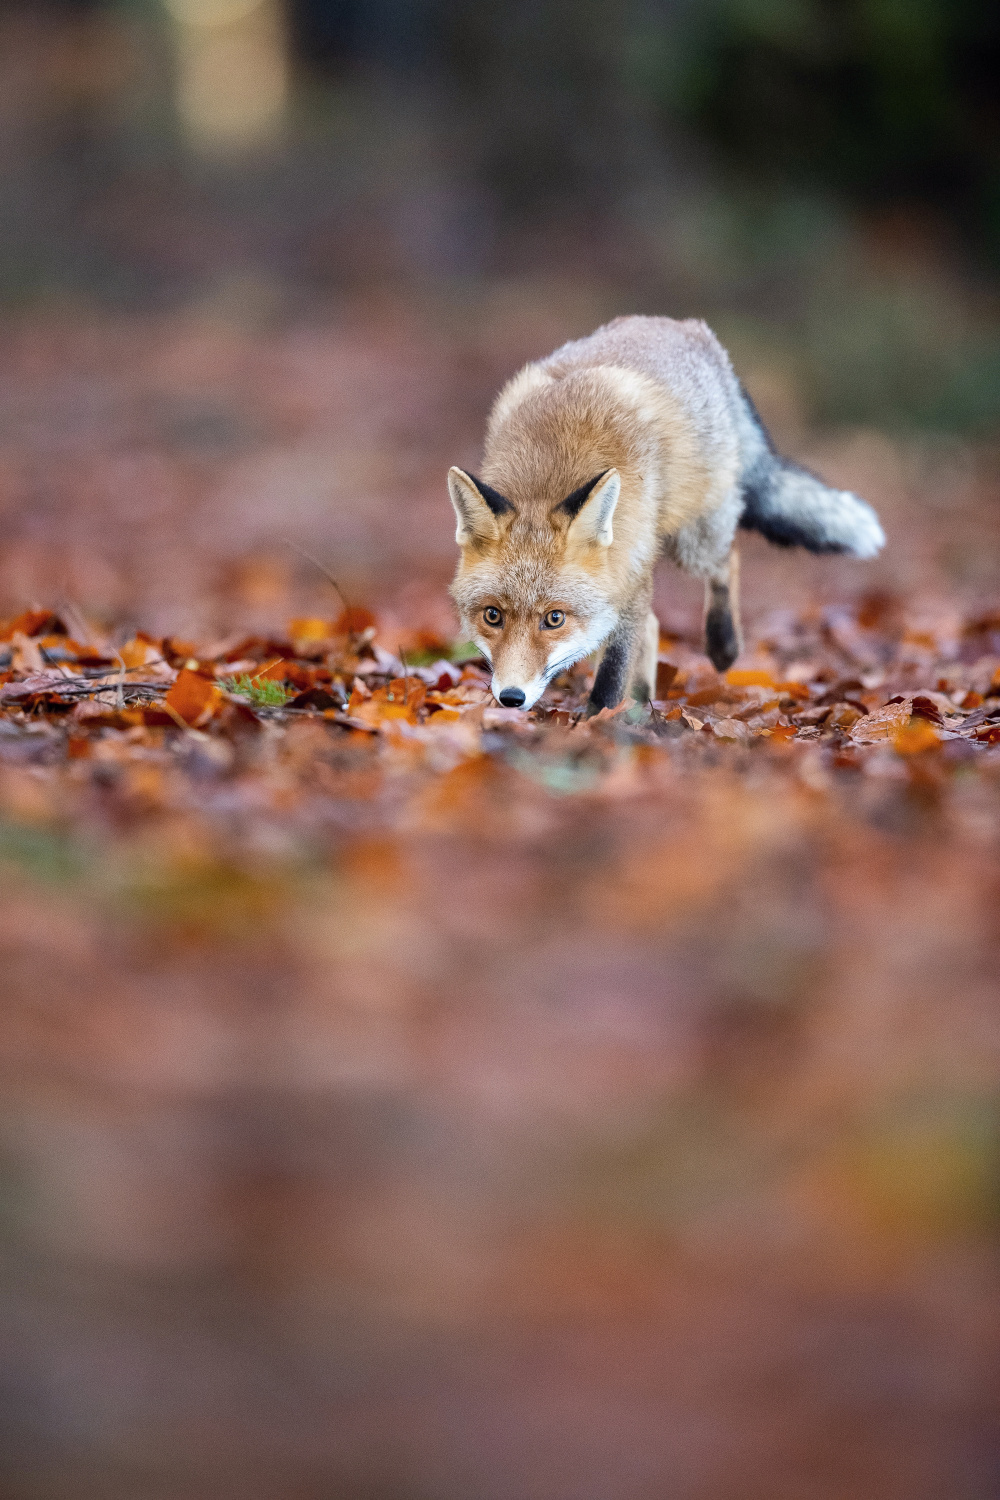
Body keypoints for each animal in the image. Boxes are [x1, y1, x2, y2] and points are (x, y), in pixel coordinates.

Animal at [446, 313, 881, 711]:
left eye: (554, 618)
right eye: (492, 616)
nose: (511, 698)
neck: (547, 476)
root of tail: (685, 325)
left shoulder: (628, 572)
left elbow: (613, 670)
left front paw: (597, 724)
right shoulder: (621, 579)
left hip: (693, 541)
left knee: (727, 561)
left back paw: (722, 645)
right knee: (655, 623)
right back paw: (643, 704)